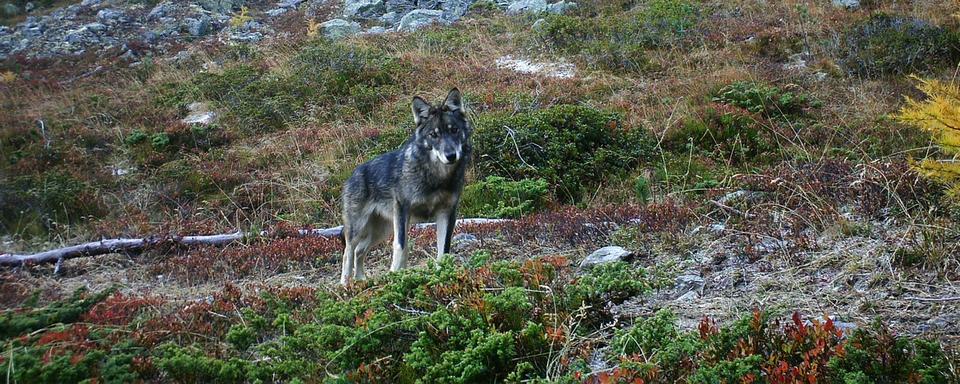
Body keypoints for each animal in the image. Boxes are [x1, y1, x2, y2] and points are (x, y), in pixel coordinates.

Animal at [340, 88, 470, 284]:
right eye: (434, 135)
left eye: (454, 130)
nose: (451, 155)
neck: (436, 177)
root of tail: (353, 174)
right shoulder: (403, 211)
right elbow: (401, 247)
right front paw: (396, 275)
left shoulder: (447, 213)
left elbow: (444, 251)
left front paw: (443, 275)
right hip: (359, 228)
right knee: (348, 253)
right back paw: (345, 285)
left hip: (380, 231)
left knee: (359, 251)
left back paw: (361, 280)